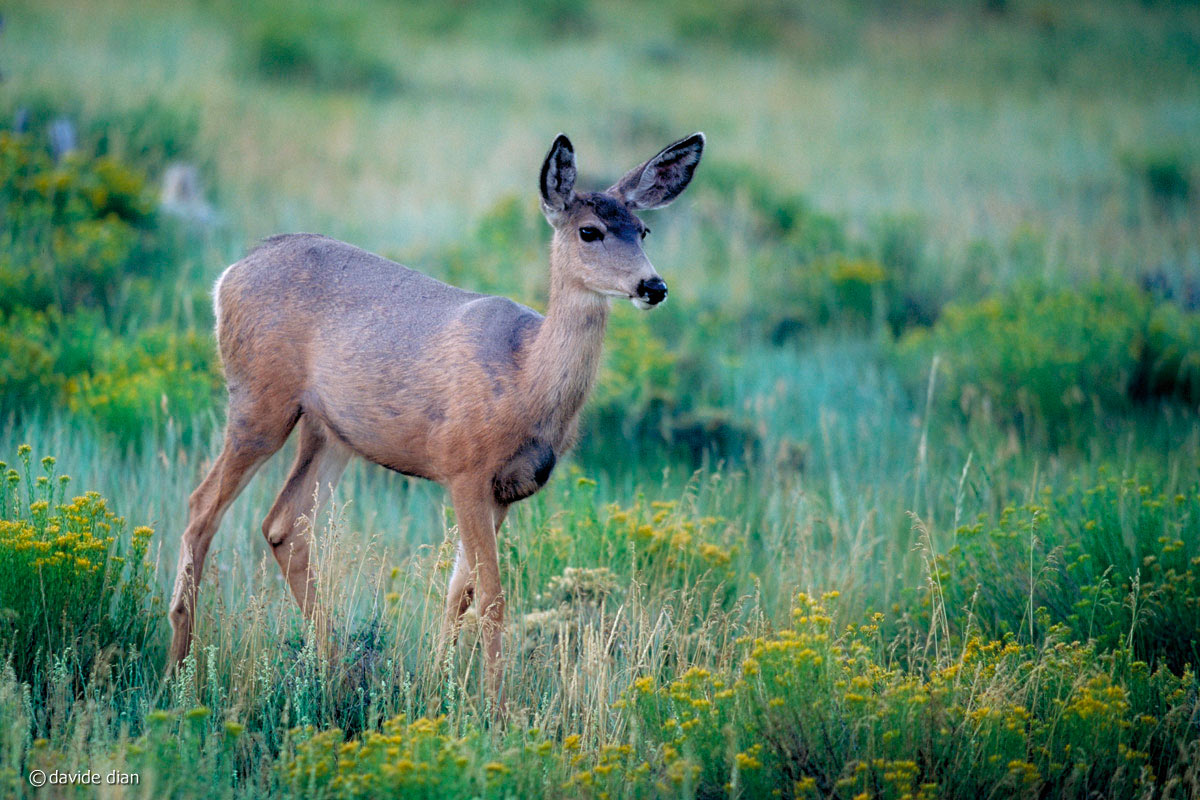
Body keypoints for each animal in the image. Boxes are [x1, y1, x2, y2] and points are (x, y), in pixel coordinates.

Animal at [166, 131, 705, 702]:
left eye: (644, 230)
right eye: (589, 231)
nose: (653, 286)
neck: (524, 379)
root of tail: (228, 276)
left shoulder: (507, 489)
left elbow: (458, 594)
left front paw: (437, 686)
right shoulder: (464, 467)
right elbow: (491, 597)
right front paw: (497, 708)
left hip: (331, 432)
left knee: (283, 527)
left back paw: (336, 671)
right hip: (259, 400)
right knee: (202, 508)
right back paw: (179, 669)